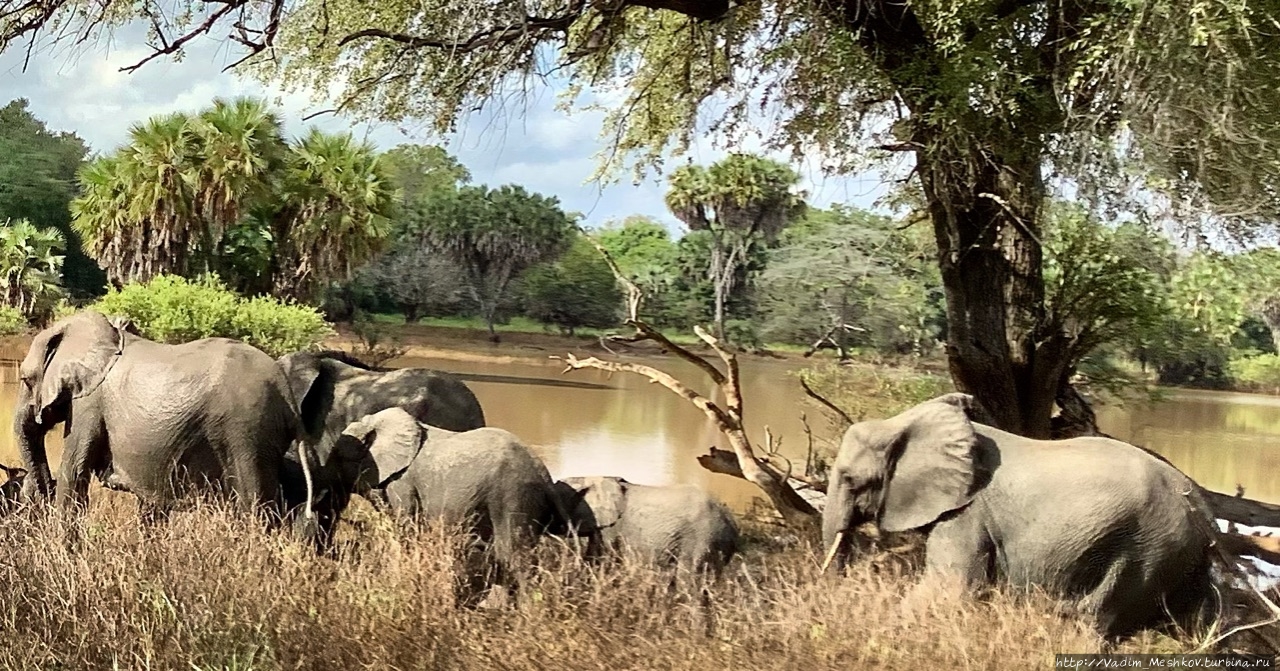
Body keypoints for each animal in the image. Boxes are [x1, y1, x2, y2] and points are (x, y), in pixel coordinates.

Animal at [15, 312, 317, 527]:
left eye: (26, 380)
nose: (43, 490)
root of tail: (287, 397)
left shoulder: (88, 404)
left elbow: (74, 473)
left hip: (247, 434)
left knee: (254, 504)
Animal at [824, 394, 1213, 640]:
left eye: (850, 479)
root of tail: (1201, 509)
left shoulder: (966, 514)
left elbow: (950, 588)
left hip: (1148, 549)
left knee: (1094, 618)